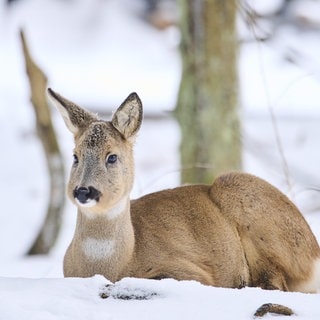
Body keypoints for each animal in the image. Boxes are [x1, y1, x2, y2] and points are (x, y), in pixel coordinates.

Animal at [48, 87, 320, 292]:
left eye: (112, 157)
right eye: (75, 157)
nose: (84, 191)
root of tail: (315, 249)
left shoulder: (190, 270)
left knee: (276, 283)